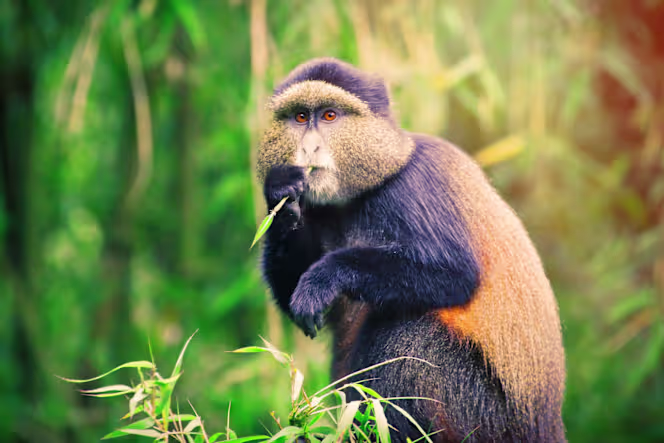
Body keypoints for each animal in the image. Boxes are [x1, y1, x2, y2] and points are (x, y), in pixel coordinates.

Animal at [257, 58, 565, 442]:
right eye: (300, 117)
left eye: (329, 116)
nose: (309, 148)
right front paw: (279, 195)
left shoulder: (415, 186)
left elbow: (455, 275)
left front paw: (323, 279)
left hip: (482, 416)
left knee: (408, 331)